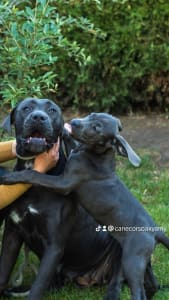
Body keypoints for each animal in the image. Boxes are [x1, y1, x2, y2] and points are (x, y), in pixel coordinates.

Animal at [2, 113, 169, 300]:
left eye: (96, 128)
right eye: (91, 115)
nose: (74, 122)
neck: (95, 154)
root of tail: (156, 231)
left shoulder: (65, 182)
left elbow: (35, 174)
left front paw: (11, 177)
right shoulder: (72, 154)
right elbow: (71, 143)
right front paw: (64, 131)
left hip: (131, 259)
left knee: (137, 291)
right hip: (142, 259)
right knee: (152, 284)